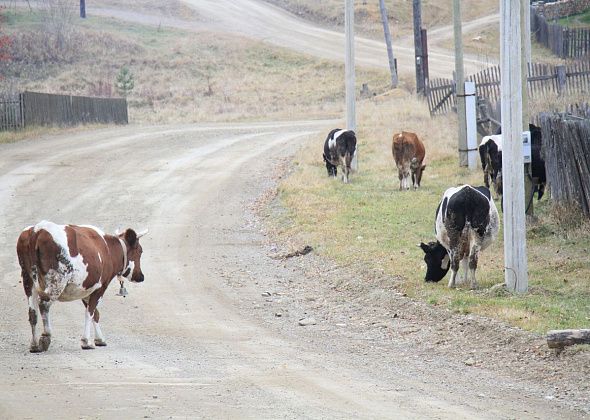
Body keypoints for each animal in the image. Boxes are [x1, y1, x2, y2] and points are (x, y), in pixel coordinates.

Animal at [16, 221, 148, 352]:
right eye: (140, 251)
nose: (141, 276)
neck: (108, 250)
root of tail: (37, 230)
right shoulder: (100, 287)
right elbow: (90, 313)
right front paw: (86, 342)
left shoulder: (86, 288)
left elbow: (95, 314)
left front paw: (99, 339)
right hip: (57, 280)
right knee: (44, 304)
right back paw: (45, 337)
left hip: (28, 279)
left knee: (32, 312)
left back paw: (34, 345)